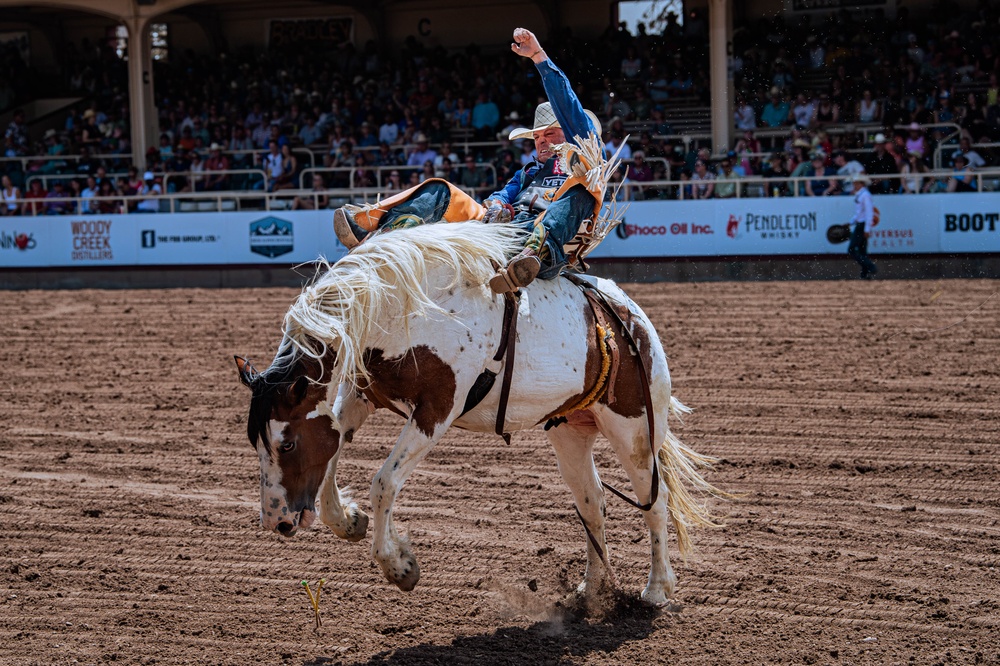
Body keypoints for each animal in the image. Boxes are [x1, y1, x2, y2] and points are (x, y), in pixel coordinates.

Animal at [234, 220, 720, 604]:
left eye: (286, 443)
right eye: (256, 441)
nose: (276, 522)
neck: (400, 304)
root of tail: (630, 317)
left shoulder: (437, 410)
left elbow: (384, 482)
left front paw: (399, 566)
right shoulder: (361, 393)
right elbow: (333, 444)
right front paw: (348, 520)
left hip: (634, 429)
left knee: (655, 501)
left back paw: (657, 590)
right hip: (570, 432)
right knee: (593, 503)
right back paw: (593, 589)